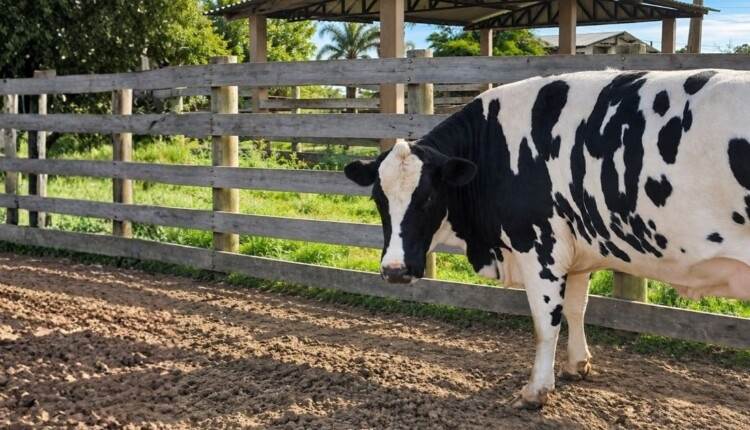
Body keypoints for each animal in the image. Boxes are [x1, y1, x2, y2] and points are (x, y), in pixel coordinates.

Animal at [344, 69, 750, 409]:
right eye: (378, 198)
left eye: (428, 196)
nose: (394, 270)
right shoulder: (579, 248)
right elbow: (576, 308)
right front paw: (578, 364)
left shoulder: (540, 247)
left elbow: (545, 323)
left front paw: (536, 390)